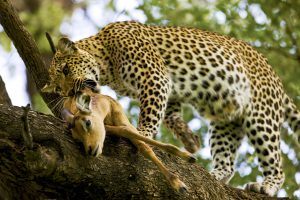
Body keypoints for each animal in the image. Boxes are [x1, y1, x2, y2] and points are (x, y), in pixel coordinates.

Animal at [42, 20, 300, 197]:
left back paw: (266, 186)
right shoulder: (169, 90)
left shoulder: (154, 77)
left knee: (275, 161)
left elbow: (150, 116)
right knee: (227, 163)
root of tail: (275, 78)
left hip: (261, 114)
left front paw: (142, 133)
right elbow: (169, 115)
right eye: (59, 88)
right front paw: (188, 138)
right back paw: (213, 175)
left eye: (66, 70)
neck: (106, 62)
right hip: (226, 124)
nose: (70, 93)